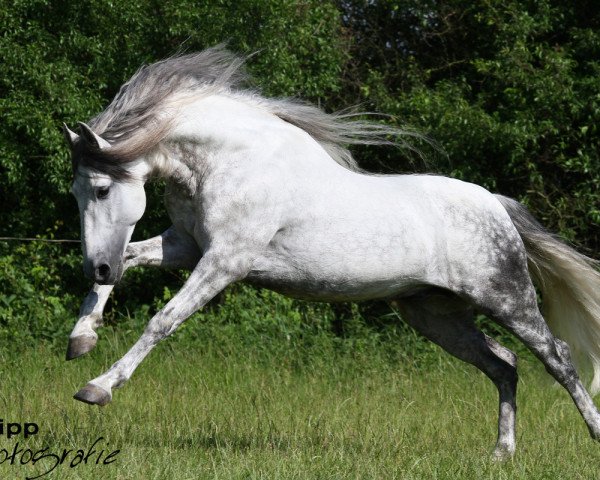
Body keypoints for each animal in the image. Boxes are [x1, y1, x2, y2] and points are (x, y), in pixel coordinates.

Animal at [62, 47, 600, 460]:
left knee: (558, 357)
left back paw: (590, 433)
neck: (230, 162)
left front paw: (97, 387)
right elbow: (132, 262)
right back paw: (500, 454)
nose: (98, 264)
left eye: (103, 189)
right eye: (75, 192)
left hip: (506, 298)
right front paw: (81, 339)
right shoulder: (188, 246)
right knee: (503, 364)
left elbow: (162, 320)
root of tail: (496, 205)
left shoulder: (224, 262)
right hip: (435, 315)